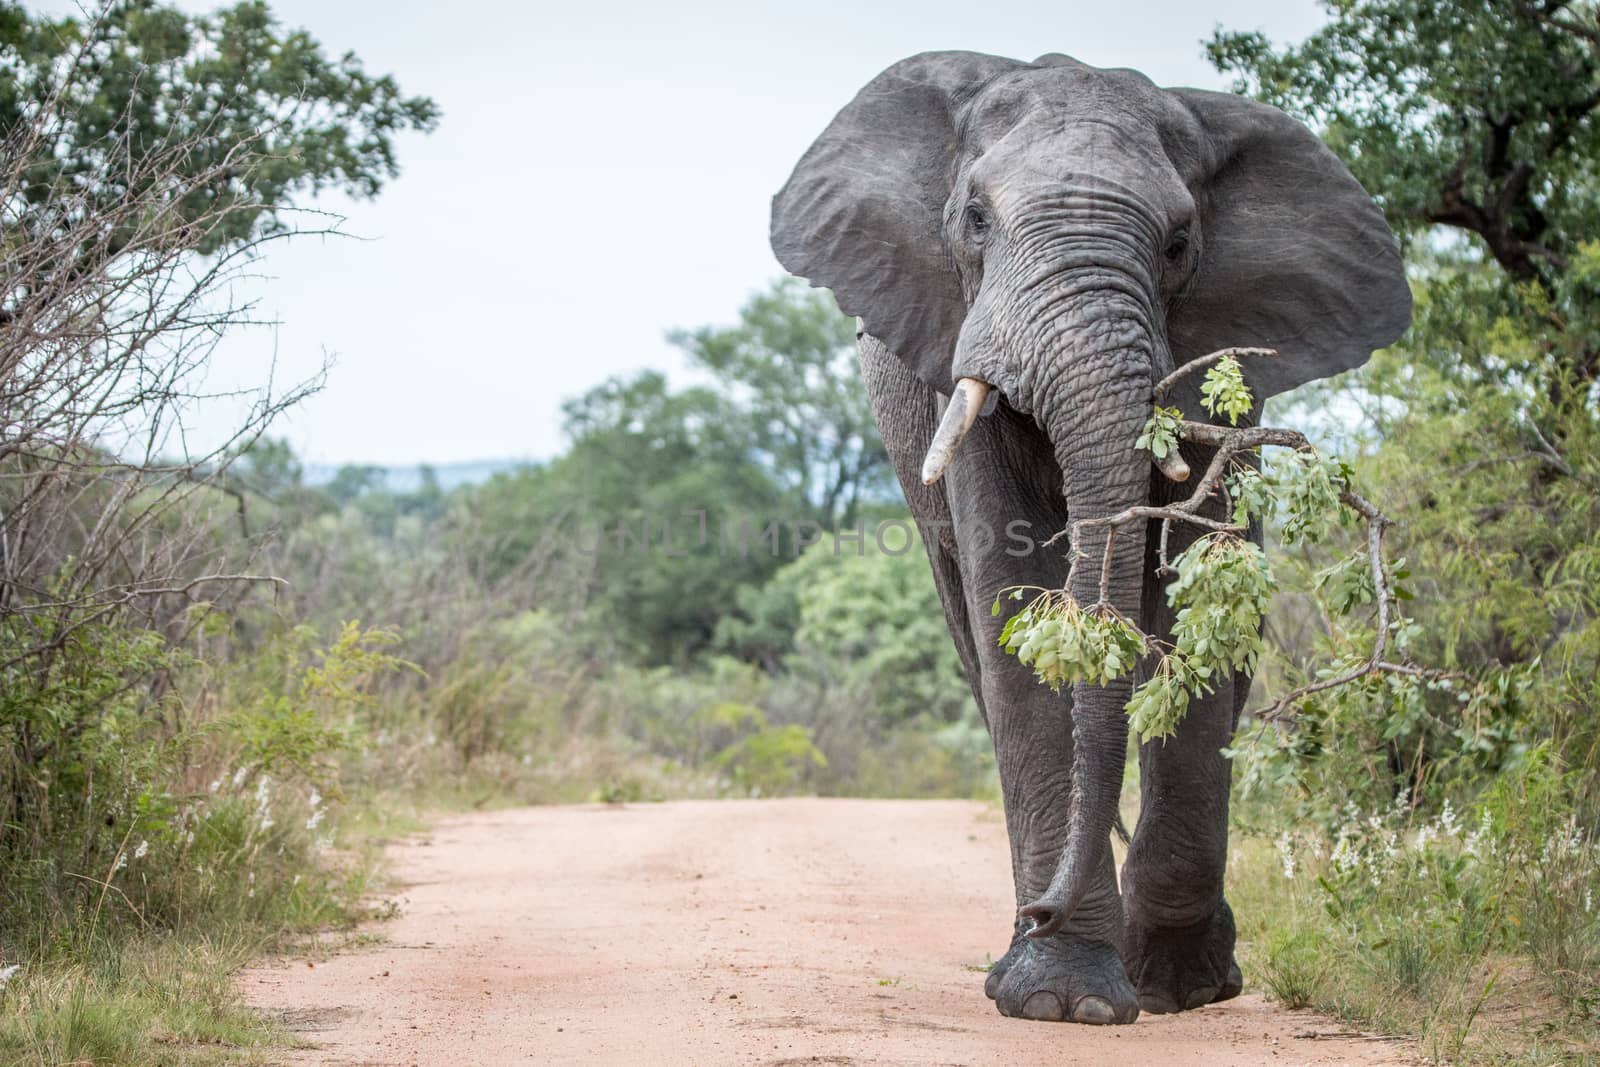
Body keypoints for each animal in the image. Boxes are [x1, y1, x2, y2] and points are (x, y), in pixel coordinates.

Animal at [768, 51, 1408, 1023]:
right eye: (975, 218)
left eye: (1179, 243)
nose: (1043, 909)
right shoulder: (961, 345)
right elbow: (1014, 600)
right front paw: (1061, 998)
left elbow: (1198, 598)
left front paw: (1176, 985)